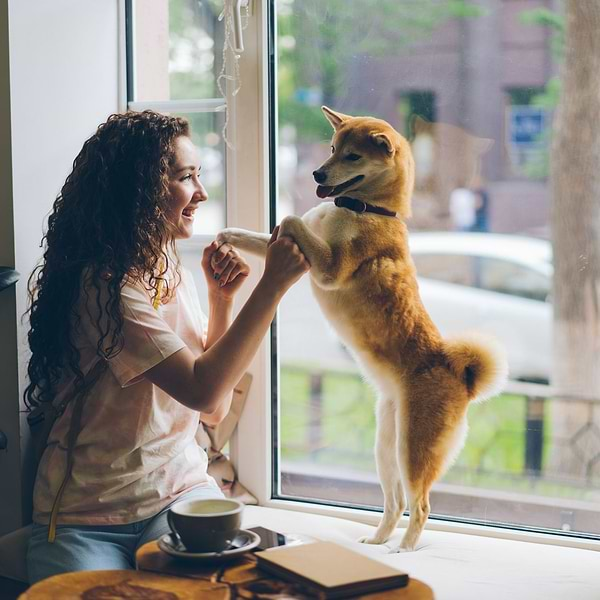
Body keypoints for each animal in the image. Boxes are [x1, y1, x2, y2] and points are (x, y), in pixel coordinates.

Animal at [216, 105, 506, 552]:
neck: (364, 209)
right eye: (333, 148)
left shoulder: (329, 268)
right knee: (395, 502)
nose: (317, 173)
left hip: (413, 449)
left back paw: (404, 549)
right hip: (386, 446)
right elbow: (266, 235)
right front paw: (231, 233)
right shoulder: (301, 250)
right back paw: (377, 541)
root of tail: (462, 376)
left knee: (420, 505)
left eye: (353, 157)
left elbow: (289, 218)